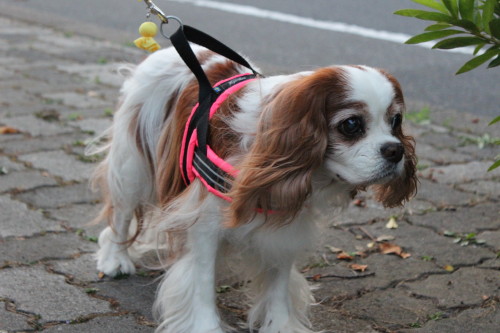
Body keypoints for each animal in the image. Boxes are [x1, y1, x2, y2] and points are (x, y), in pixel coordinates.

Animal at [91, 44, 418, 332]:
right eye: (351, 124)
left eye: (396, 120)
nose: (395, 150)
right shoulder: (204, 223)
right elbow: (200, 283)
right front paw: (206, 327)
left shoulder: (285, 221)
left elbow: (278, 286)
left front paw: (282, 326)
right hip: (132, 164)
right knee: (121, 213)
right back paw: (115, 258)